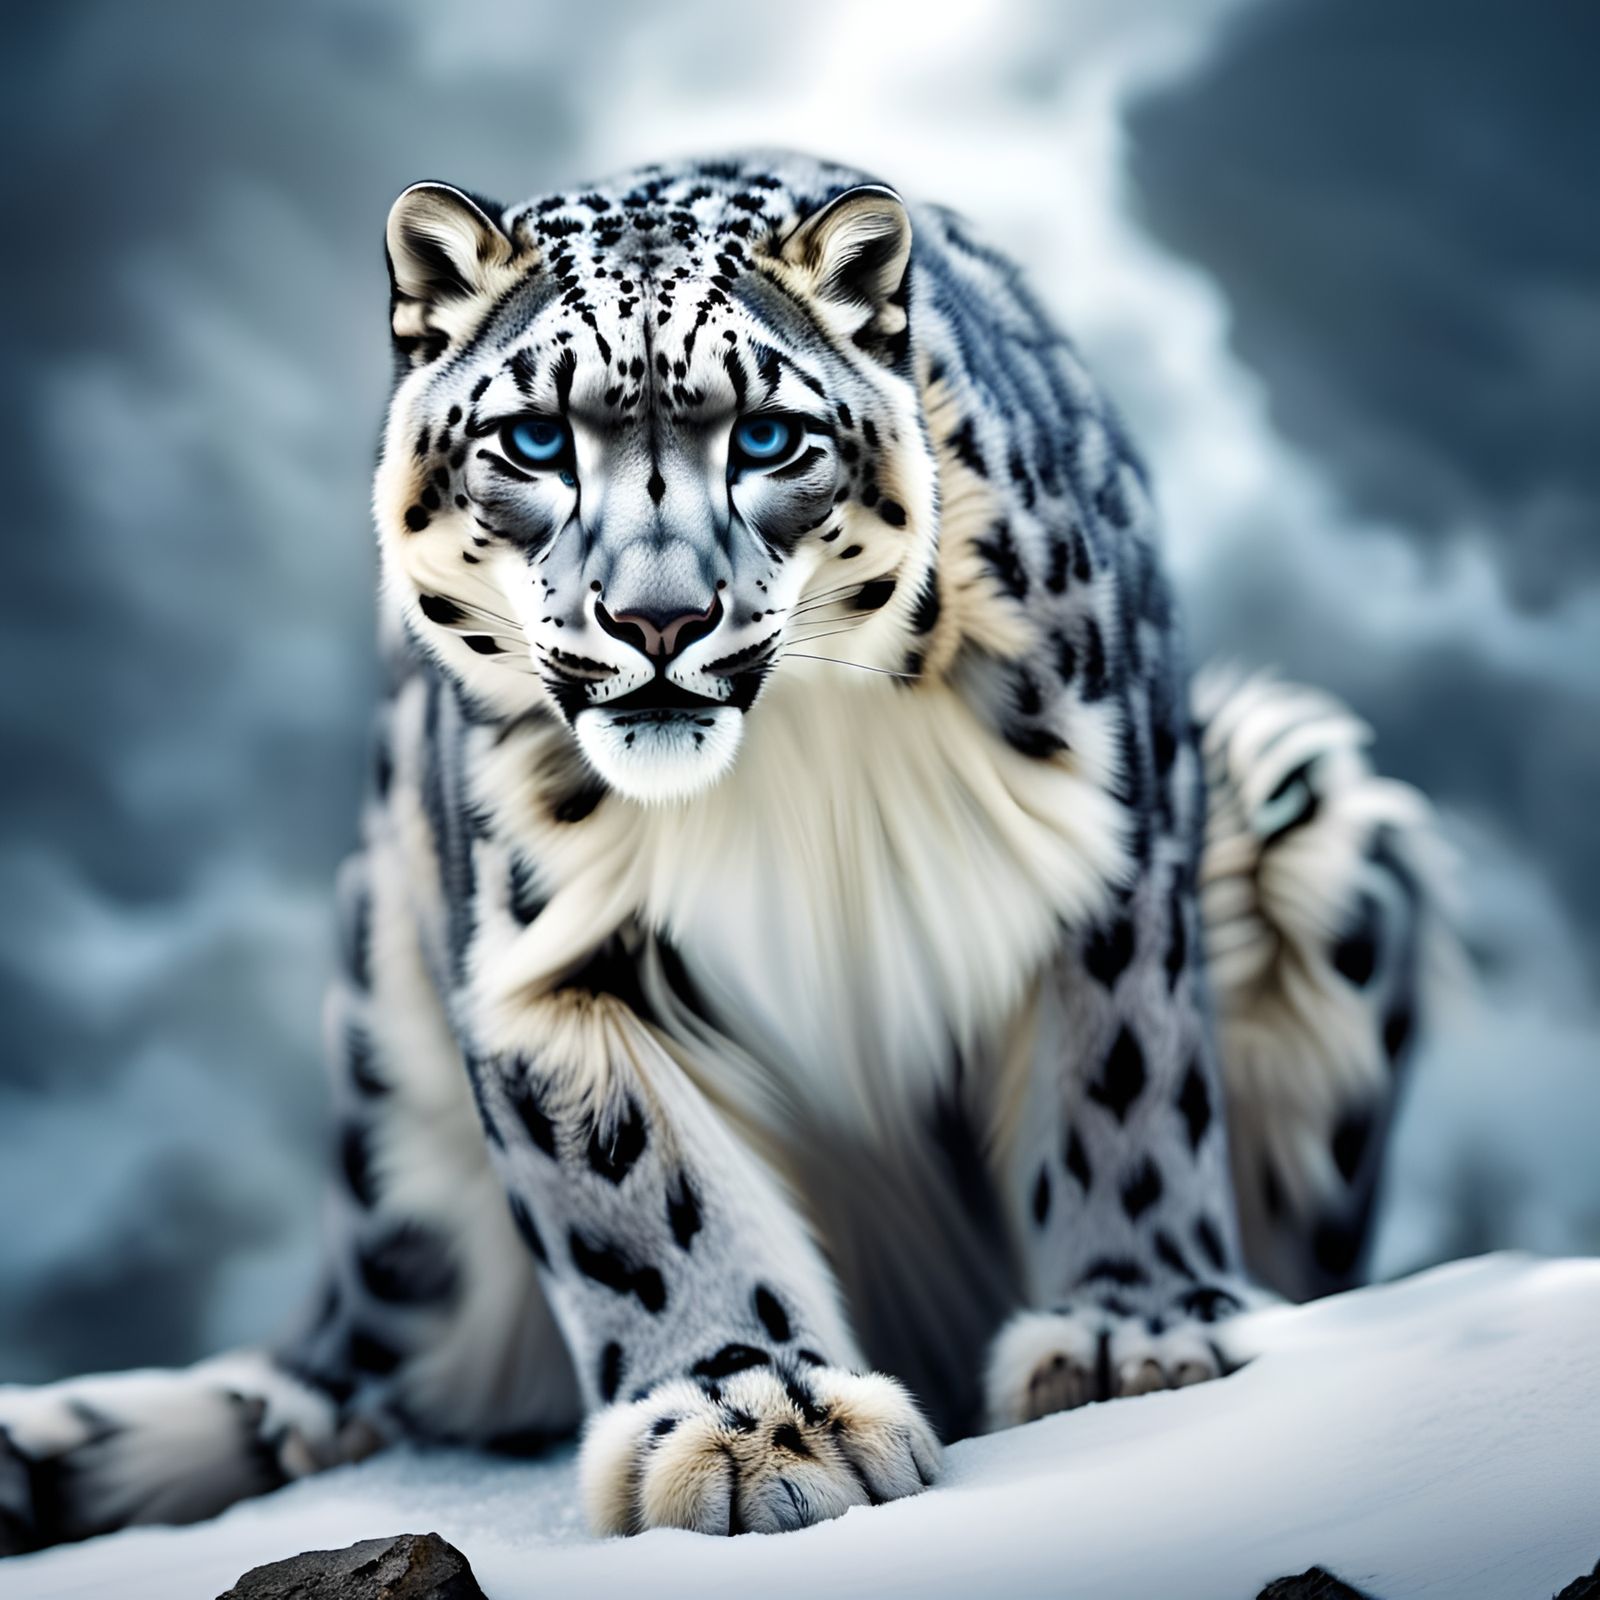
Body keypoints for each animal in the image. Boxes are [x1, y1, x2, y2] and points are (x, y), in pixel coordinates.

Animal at [0, 150, 1453, 1551]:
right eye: (536, 438)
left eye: (765, 435)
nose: (656, 618)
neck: (789, 764)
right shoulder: (543, 948)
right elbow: (643, 1192)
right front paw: (755, 1419)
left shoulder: (1114, 847)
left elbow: (1126, 1086)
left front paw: (1131, 1333)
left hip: (1293, 786)